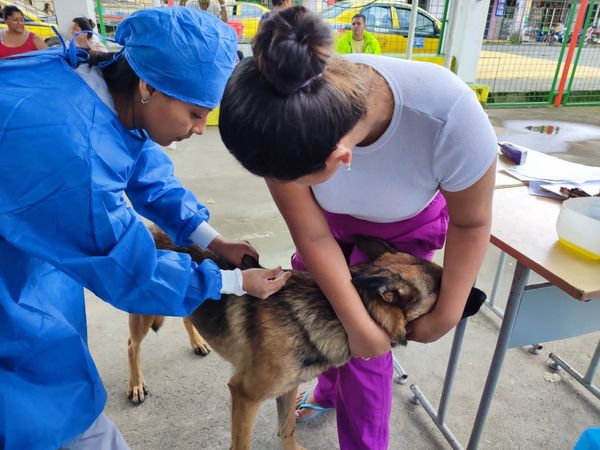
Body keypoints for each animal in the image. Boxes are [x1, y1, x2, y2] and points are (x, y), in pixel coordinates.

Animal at [128, 227, 485, 450]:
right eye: (443, 288)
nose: (481, 296)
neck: (336, 313)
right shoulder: (244, 396)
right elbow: (242, 443)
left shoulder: (287, 388)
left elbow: (287, 428)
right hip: (143, 311)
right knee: (133, 346)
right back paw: (136, 385)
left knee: (185, 317)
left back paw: (198, 341)